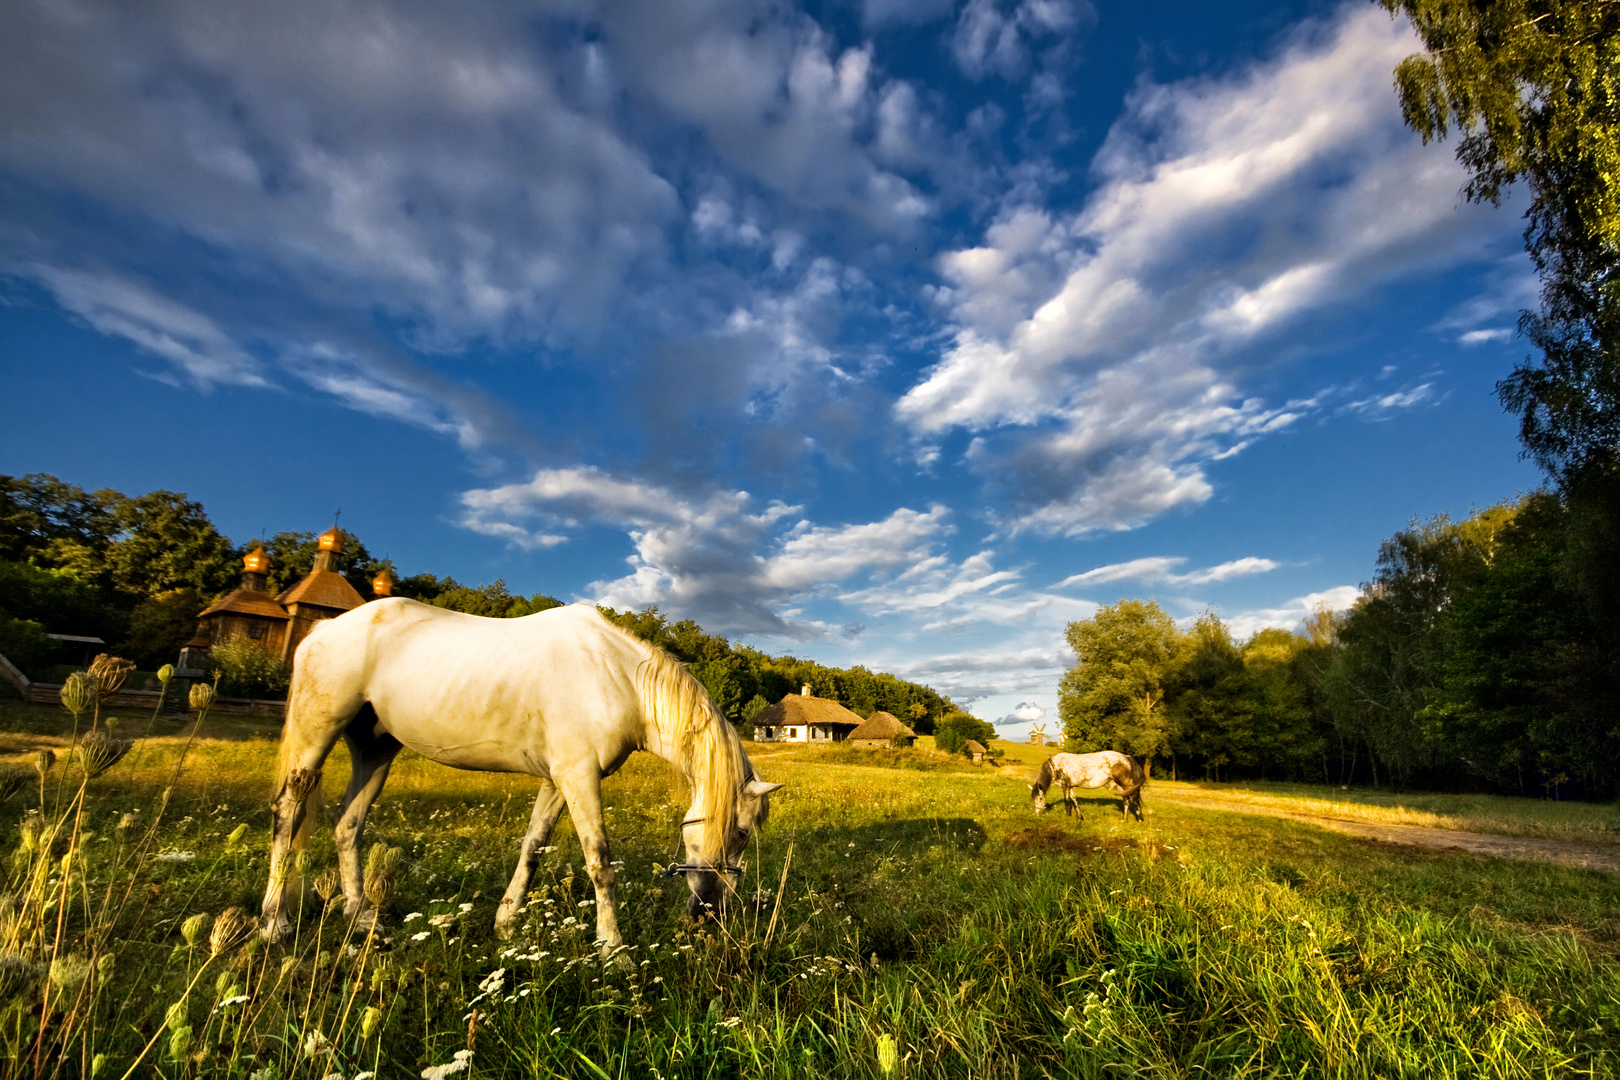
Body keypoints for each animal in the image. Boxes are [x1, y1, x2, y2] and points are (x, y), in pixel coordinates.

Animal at [259, 599, 784, 952]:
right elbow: (600, 861)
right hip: (313, 737)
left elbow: (533, 846)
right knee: (287, 816)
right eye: (739, 832)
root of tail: (325, 627)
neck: (618, 678)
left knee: (348, 824)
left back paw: (360, 916)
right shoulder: (578, 778)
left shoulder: (558, 781)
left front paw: (506, 920)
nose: (712, 914)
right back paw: (274, 923)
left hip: (375, 751)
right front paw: (613, 949)